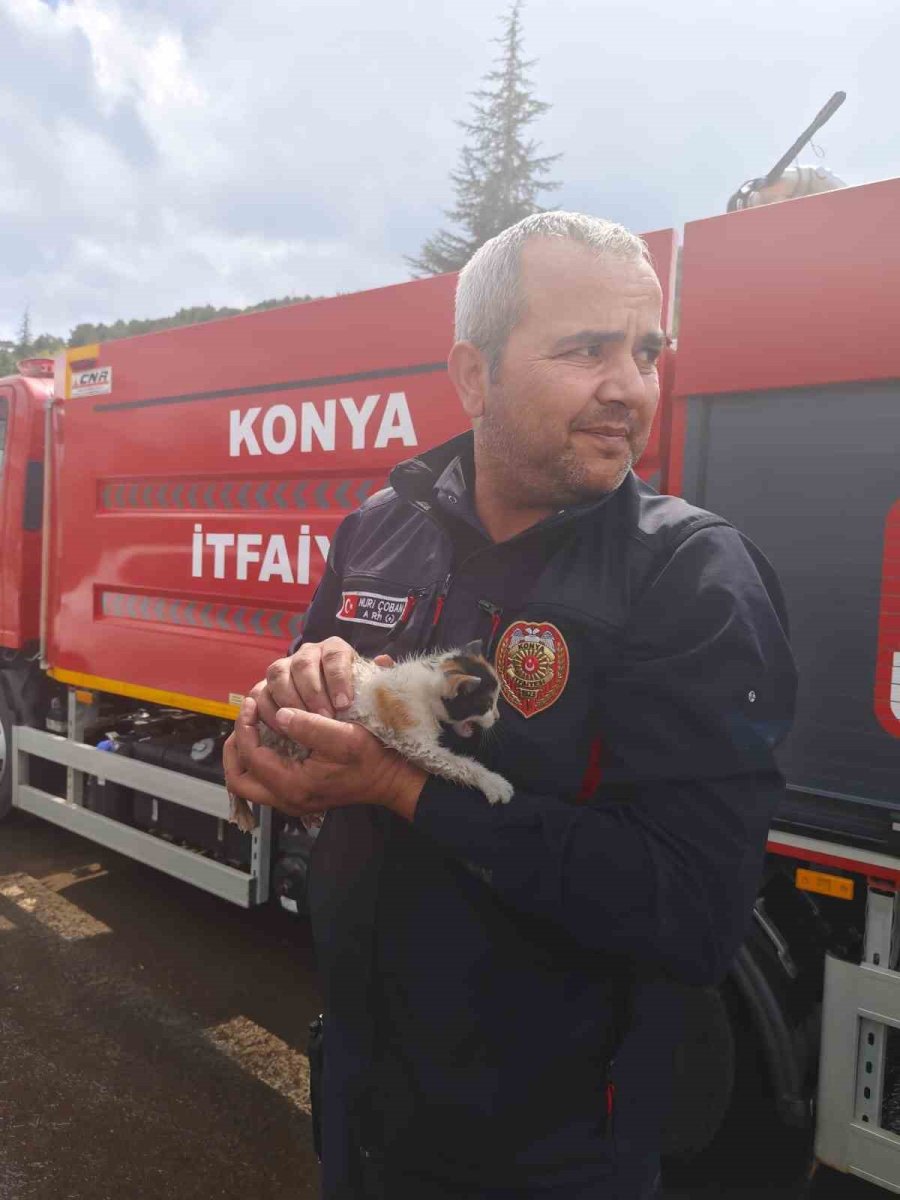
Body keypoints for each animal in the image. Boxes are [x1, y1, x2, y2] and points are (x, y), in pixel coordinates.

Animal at [230, 643, 513, 830]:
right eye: (486, 704)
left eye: (494, 702)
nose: (498, 716)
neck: (428, 684)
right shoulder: (413, 740)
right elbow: (459, 765)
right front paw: (493, 783)